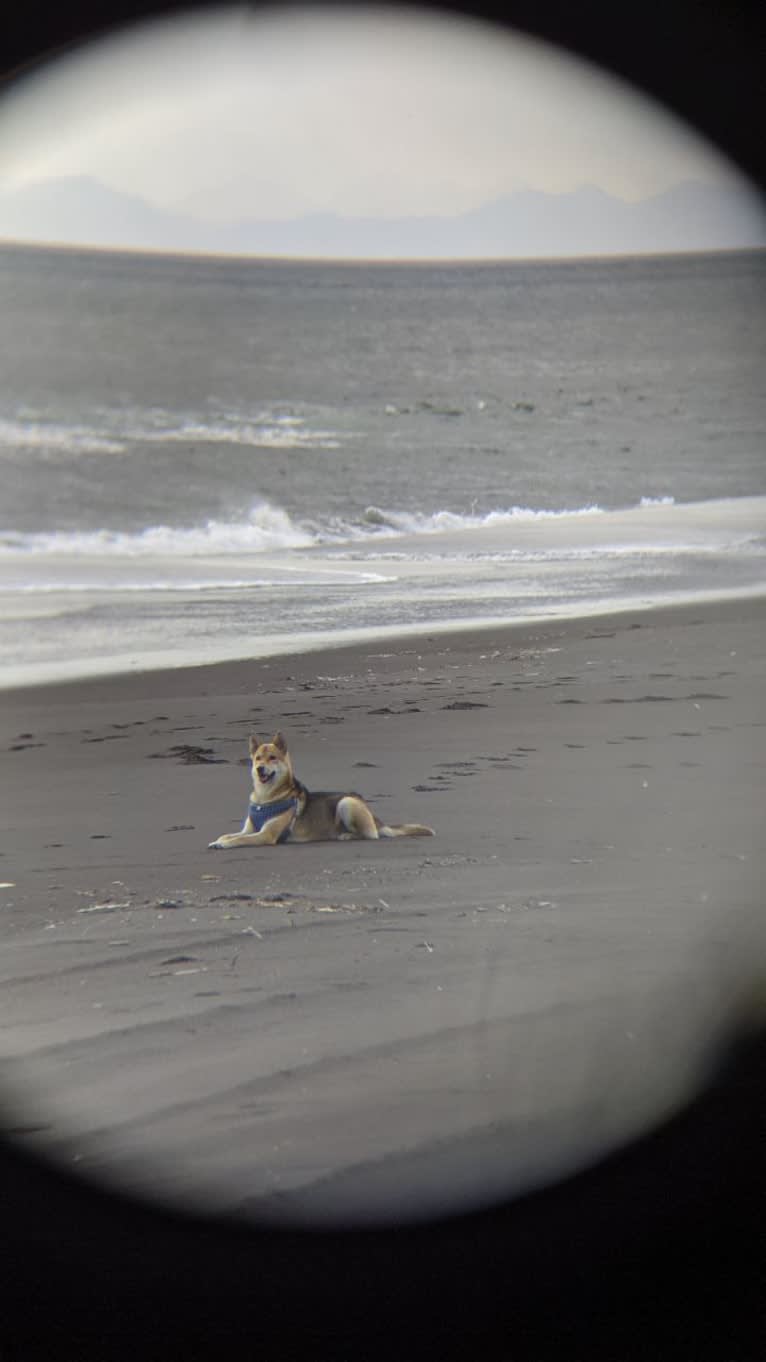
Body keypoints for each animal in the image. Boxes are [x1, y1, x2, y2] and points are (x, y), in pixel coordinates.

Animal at [207, 730, 436, 844]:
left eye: (272, 758)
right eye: (257, 758)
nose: (260, 769)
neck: (266, 797)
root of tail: (376, 817)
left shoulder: (266, 835)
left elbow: (236, 841)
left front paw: (221, 844)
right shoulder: (249, 829)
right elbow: (230, 835)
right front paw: (218, 840)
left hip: (346, 803)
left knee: (370, 835)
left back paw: (346, 835)